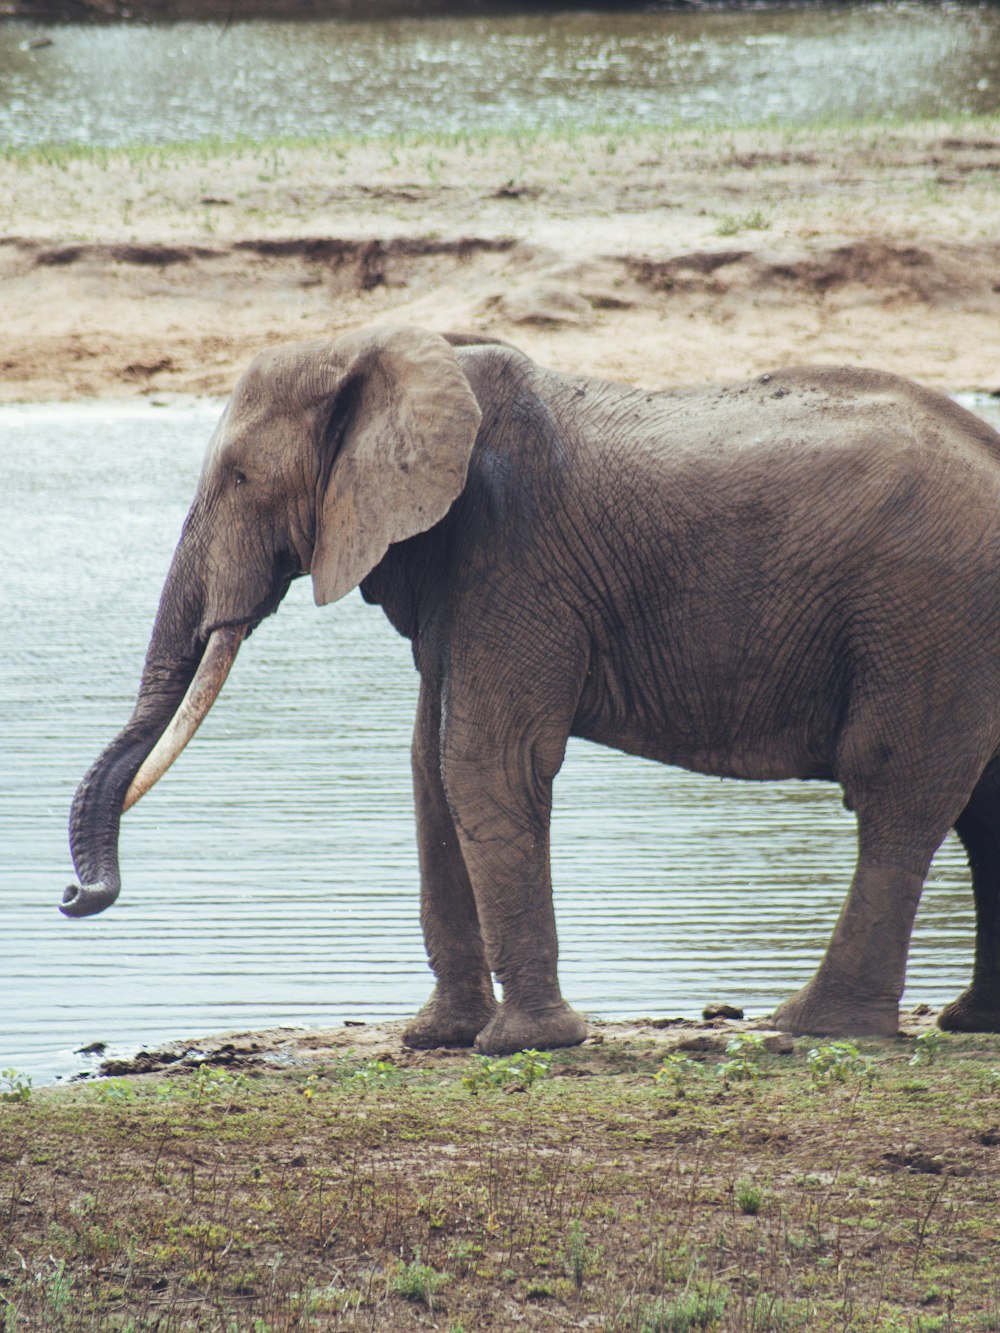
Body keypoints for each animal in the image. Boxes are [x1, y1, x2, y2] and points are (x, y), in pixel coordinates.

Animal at [62, 322, 1000, 1050]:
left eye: (241, 479)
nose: (74, 897)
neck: (392, 351)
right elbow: (428, 768)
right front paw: (438, 1037)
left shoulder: (513, 555)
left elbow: (483, 760)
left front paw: (526, 1043)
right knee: (982, 804)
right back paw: (966, 1021)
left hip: (927, 613)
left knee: (897, 789)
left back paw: (815, 1023)